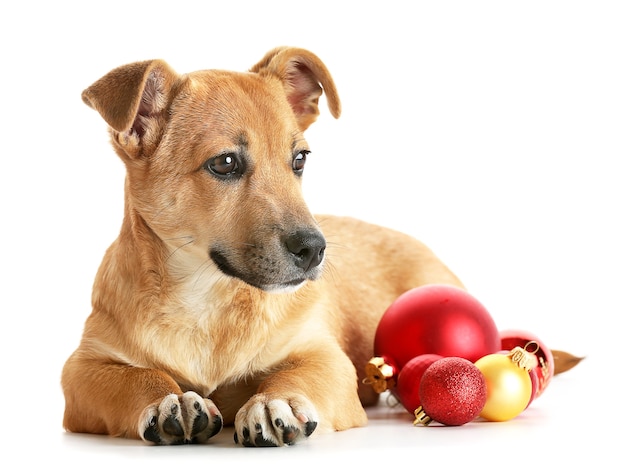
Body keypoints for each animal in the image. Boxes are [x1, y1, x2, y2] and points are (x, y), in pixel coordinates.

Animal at [63, 46, 486, 448]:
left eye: (299, 159)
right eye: (225, 163)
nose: (314, 249)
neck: (206, 302)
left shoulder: (327, 358)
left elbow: (295, 375)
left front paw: (273, 402)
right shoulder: (81, 370)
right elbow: (138, 377)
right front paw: (171, 398)